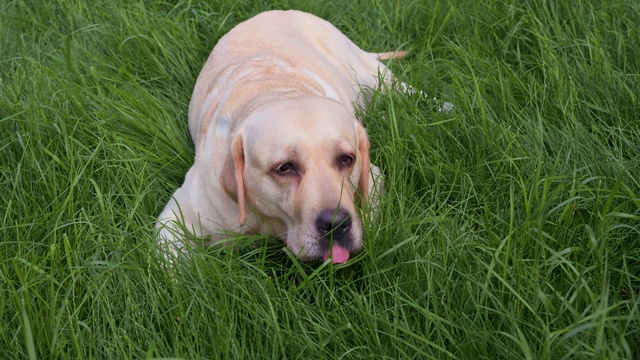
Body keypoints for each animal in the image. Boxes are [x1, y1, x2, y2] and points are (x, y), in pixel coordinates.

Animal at [155, 9, 416, 262]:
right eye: (284, 168)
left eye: (346, 159)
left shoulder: (373, 178)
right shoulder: (177, 218)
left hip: (372, 77)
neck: (272, 89)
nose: (336, 224)